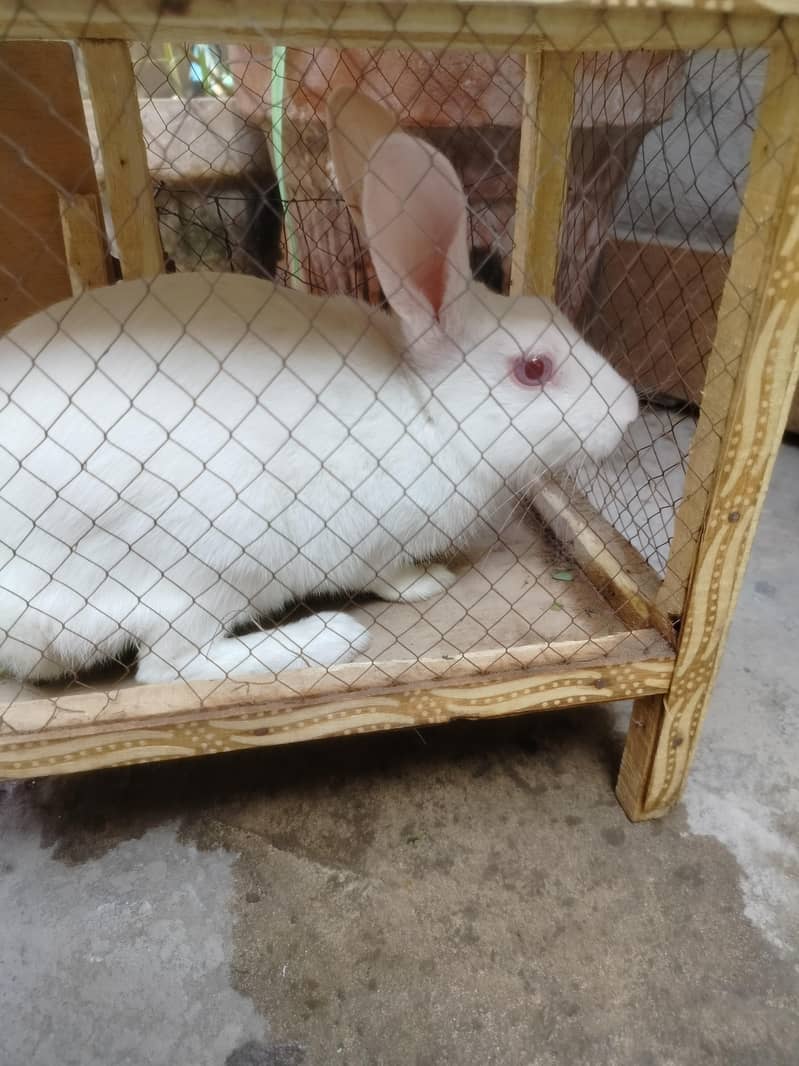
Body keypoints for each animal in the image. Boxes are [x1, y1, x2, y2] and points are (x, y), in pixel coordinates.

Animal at [0, 123, 638, 686]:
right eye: (534, 369)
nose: (628, 411)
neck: (428, 413)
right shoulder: (369, 540)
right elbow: (387, 577)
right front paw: (429, 581)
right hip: (206, 565)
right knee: (170, 666)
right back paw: (333, 636)